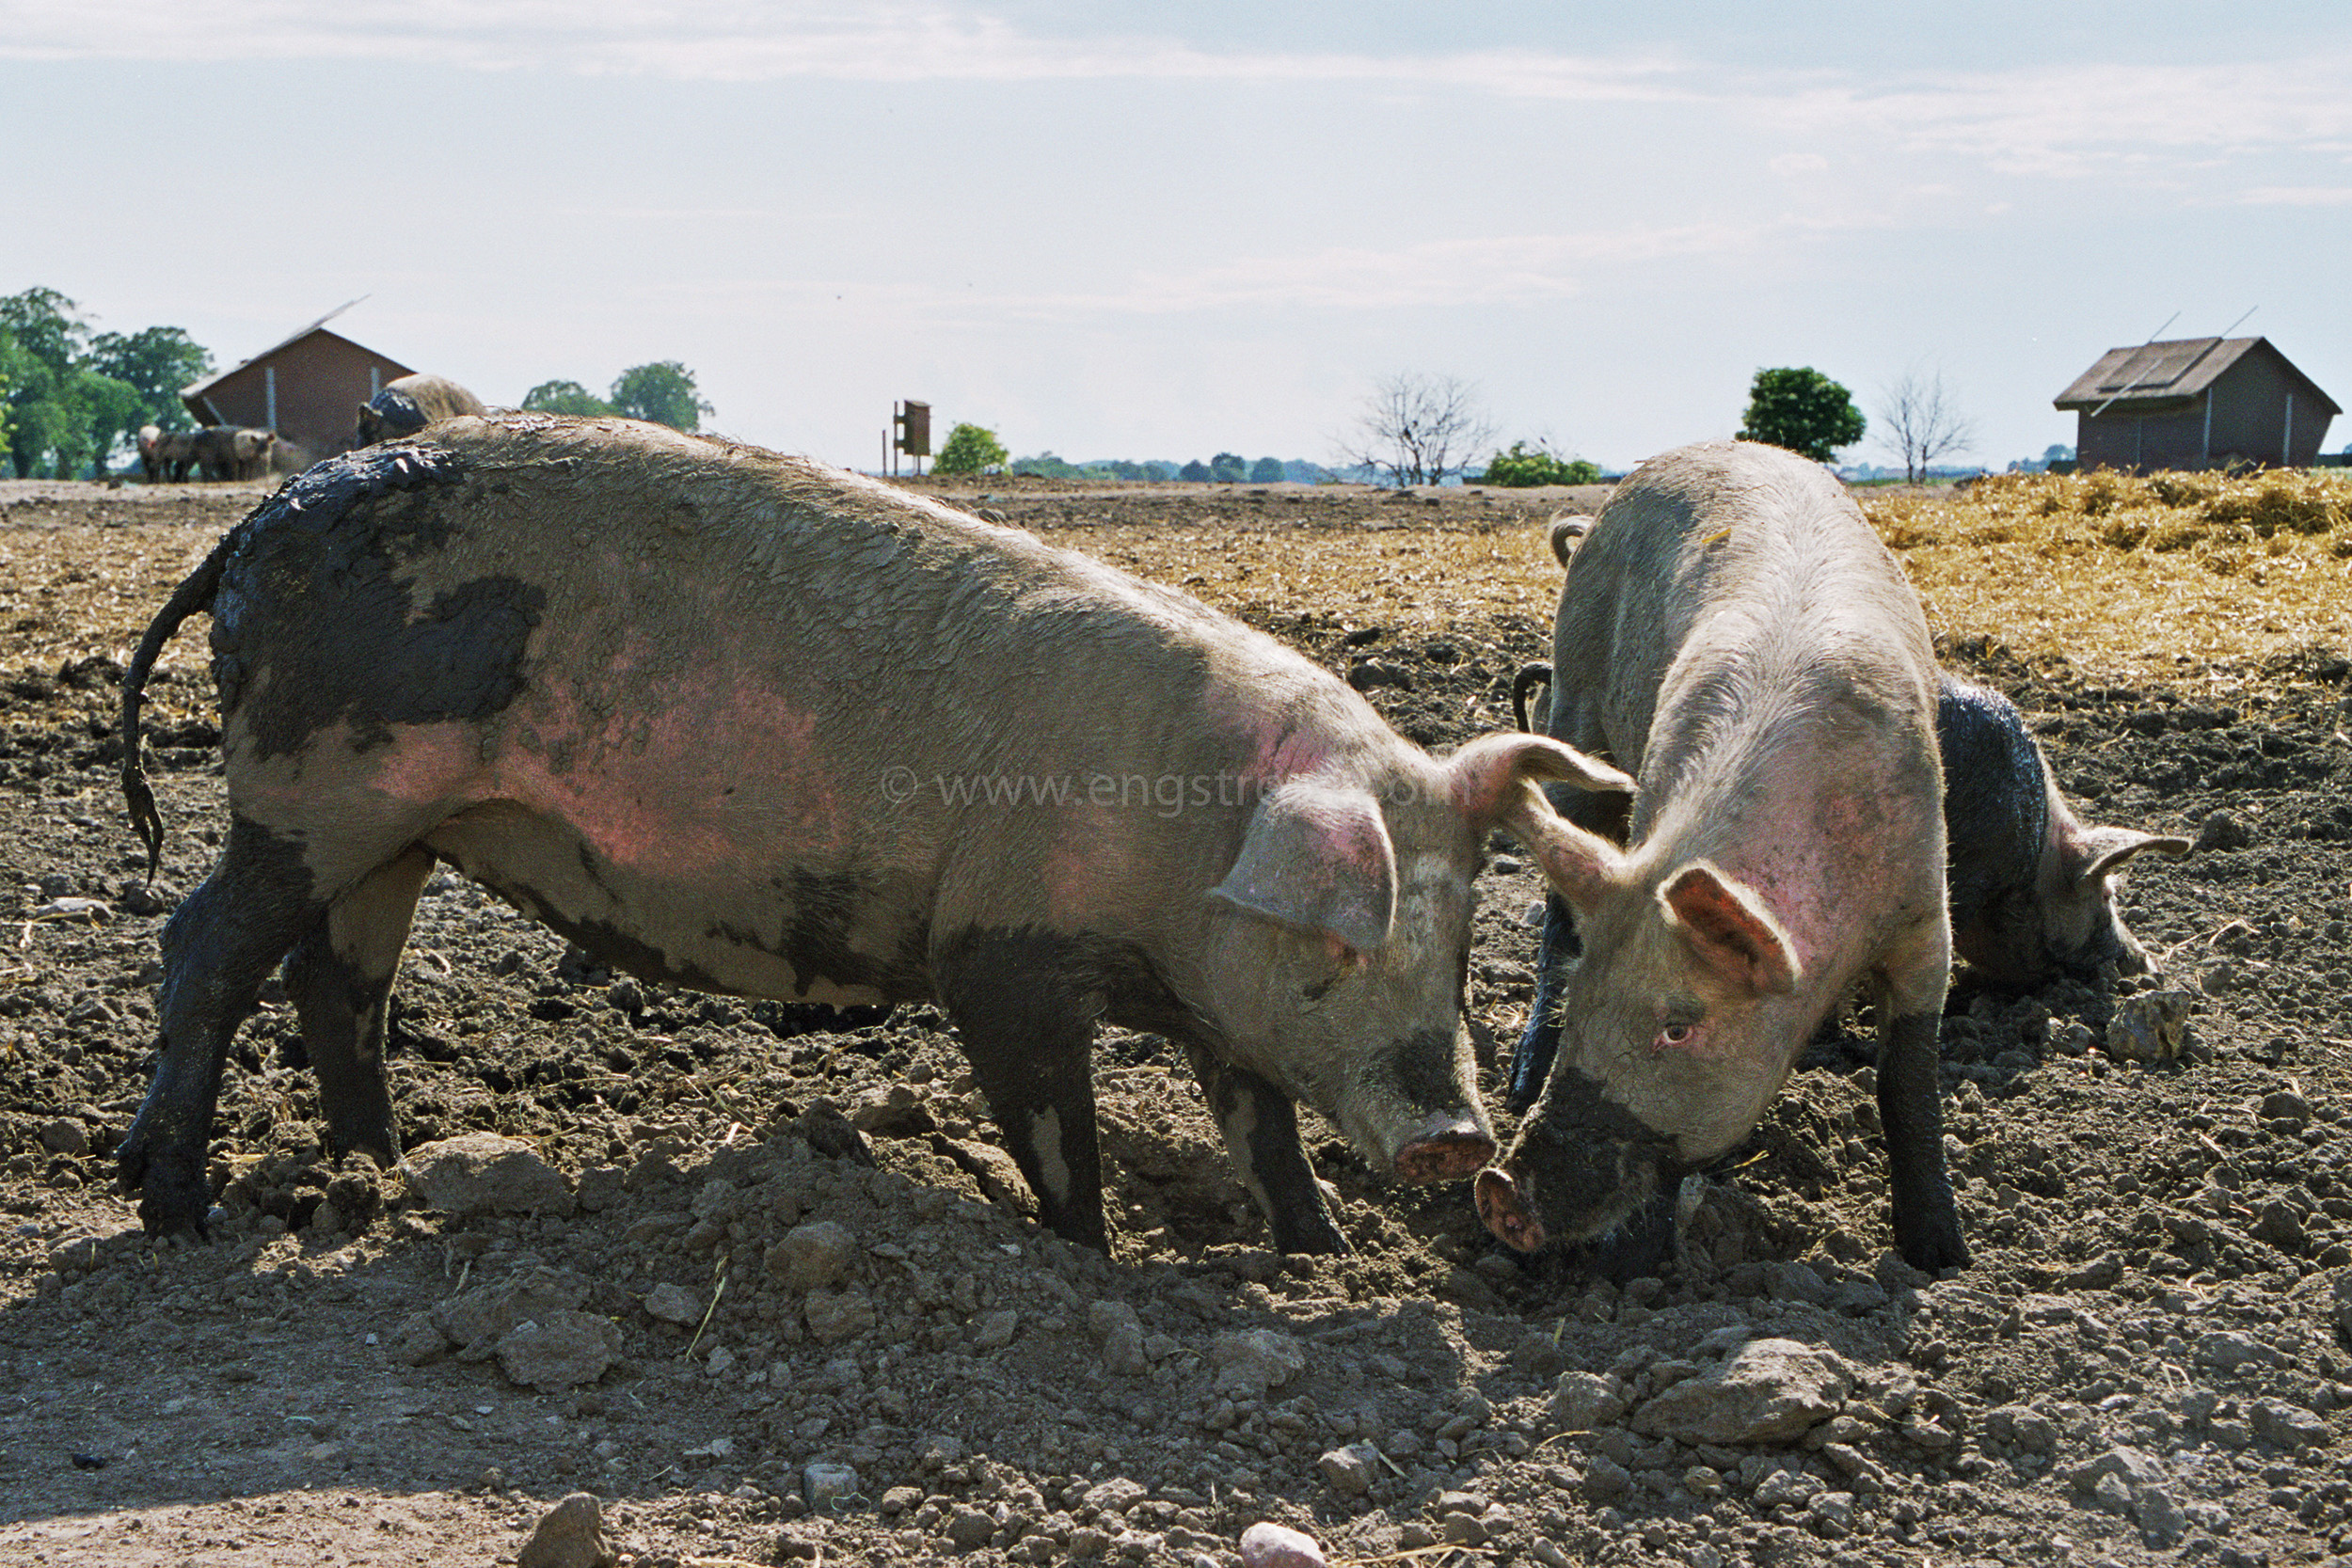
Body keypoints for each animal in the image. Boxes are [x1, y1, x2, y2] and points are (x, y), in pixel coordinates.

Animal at [119, 413, 1628, 1250]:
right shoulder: (996, 951)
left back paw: (379, 1174)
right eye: (1341, 942)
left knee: (337, 981)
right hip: (312, 789)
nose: (1454, 1136)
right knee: (207, 944)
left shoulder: (1219, 1007)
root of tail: (248, 528)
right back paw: (179, 1209)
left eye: (1457, 940)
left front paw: (1322, 1257)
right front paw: (1088, 1260)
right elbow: (1054, 1126)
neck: (1187, 854)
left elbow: (1261, 1127)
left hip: (397, 827)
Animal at [1486, 439, 1966, 1278]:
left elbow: (1908, 1077)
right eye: (1587, 995)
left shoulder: (1924, 914)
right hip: (1575, 699)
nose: (1497, 1189)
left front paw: (1941, 1258)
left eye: (1678, 1027)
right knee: (1556, 916)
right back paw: (1521, 1079)